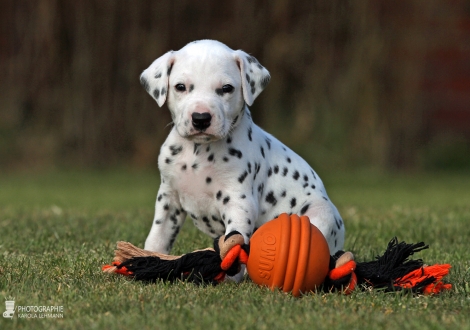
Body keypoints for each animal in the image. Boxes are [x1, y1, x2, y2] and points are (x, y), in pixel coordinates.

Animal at [140, 38, 346, 255]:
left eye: (226, 88)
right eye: (180, 87)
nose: (201, 118)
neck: (198, 153)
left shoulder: (238, 202)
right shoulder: (168, 199)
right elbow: (158, 237)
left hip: (321, 212)